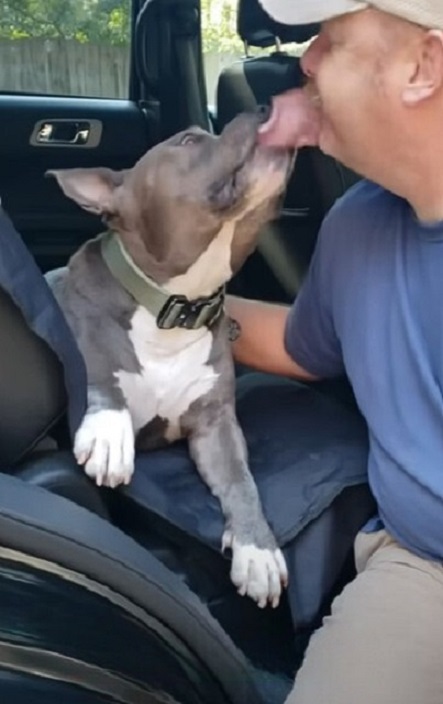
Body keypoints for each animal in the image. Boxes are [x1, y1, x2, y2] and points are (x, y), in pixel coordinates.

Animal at [46, 111, 294, 612]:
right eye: (188, 140)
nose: (263, 110)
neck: (175, 309)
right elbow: (99, 369)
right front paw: (109, 432)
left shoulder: (215, 424)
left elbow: (242, 481)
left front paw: (257, 550)